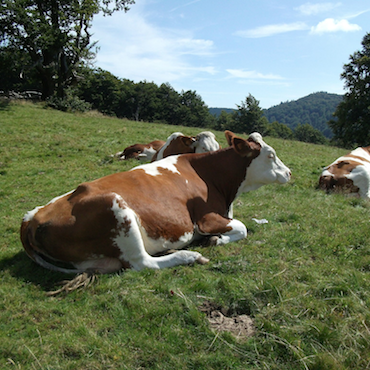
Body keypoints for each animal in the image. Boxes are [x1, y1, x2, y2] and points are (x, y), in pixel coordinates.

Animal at [21, 132, 292, 274]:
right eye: (271, 155)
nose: (289, 172)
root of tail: (31, 219)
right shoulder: (205, 219)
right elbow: (242, 228)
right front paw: (215, 240)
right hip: (117, 208)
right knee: (142, 263)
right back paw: (188, 256)